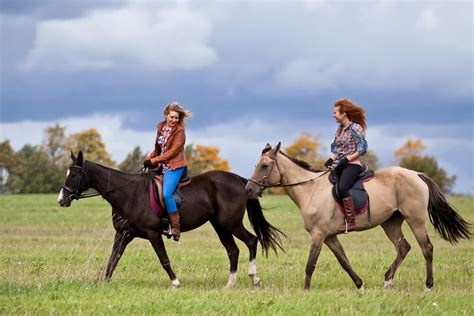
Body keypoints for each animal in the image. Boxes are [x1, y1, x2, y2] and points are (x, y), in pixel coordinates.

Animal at [57, 152, 284, 288]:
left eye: (75, 174)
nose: (61, 199)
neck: (128, 193)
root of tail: (239, 180)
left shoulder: (152, 234)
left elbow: (164, 259)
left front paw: (175, 282)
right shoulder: (123, 234)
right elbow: (113, 259)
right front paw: (104, 282)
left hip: (231, 223)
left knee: (251, 240)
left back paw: (254, 278)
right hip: (220, 226)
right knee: (233, 250)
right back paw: (229, 284)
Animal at [244, 143, 470, 292]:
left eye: (264, 166)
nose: (248, 190)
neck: (310, 190)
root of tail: (416, 174)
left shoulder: (319, 235)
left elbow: (311, 263)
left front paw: (305, 290)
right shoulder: (330, 236)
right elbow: (344, 260)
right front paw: (360, 285)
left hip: (415, 220)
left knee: (427, 248)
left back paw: (428, 285)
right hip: (390, 223)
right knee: (403, 247)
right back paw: (388, 281)